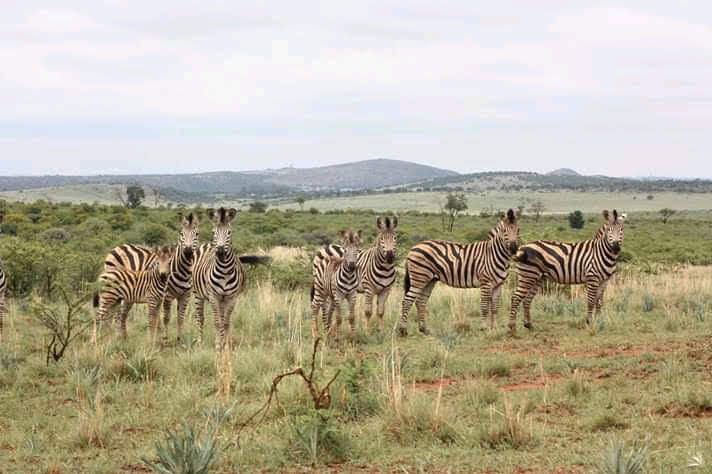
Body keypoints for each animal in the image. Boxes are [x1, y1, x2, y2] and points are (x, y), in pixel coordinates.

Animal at [102, 212, 200, 340]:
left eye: (197, 234)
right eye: (181, 234)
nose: (187, 252)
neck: (182, 271)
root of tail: (117, 247)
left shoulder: (186, 295)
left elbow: (180, 318)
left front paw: (179, 339)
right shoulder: (167, 295)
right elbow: (166, 317)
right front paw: (165, 338)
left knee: (121, 313)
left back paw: (123, 338)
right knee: (116, 313)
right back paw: (116, 336)